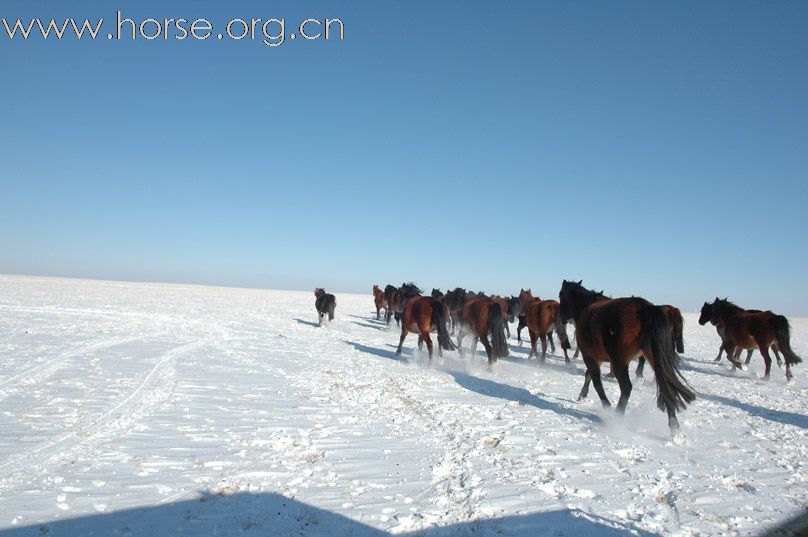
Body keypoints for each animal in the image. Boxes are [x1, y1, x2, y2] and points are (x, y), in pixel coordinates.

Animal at [560, 278, 696, 434]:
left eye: (560, 296)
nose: (562, 318)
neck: (586, 307)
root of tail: (645, 309)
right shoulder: (596, 358)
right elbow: (589, 376)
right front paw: (583, 394)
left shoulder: (589, 356)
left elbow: (596, 382)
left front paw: (605, 405)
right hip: (654, 359)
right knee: (666, 386)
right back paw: (674, 426)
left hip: (620, 362)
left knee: (626, 388)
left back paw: (618, 418)